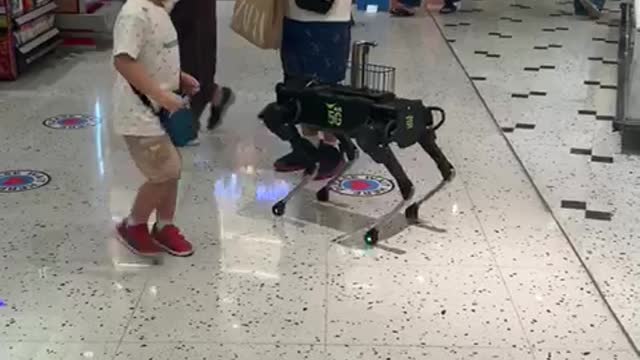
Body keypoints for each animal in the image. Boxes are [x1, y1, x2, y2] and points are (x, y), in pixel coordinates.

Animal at [260, 41, 456, 245]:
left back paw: (376, 229)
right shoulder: (330, 124)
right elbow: (345, 152)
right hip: (419, 132)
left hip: (376, 138)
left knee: (409, 183)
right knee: (445, 169)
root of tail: (414, 113)